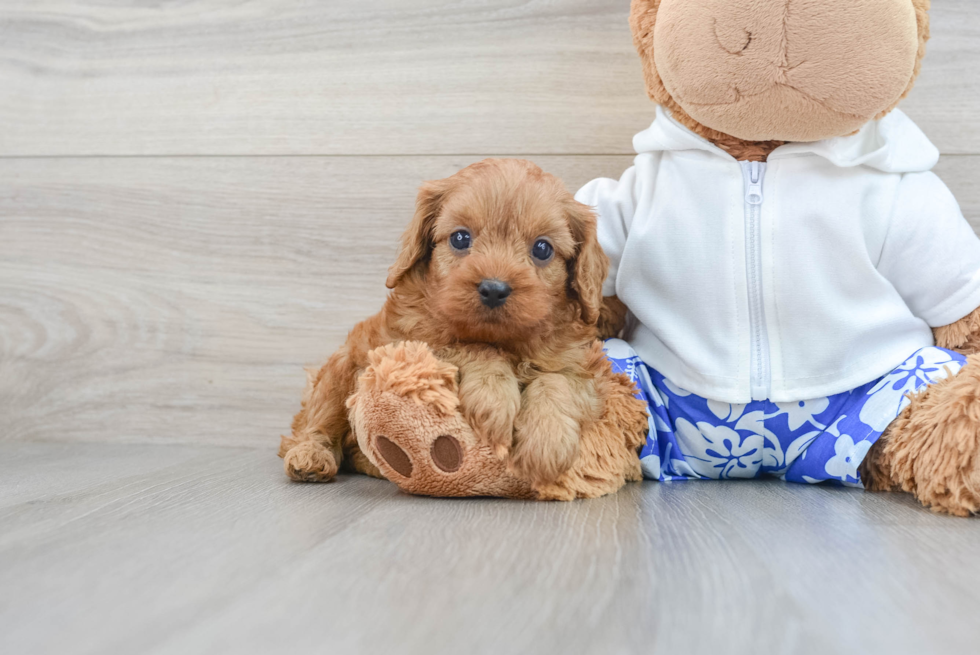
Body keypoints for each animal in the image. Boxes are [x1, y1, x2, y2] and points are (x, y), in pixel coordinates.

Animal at [280, 161, 648, 500]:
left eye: (542, 248)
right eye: (460, 238)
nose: (494, 289)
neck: (505, 339)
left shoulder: (582, 367)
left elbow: (556, 381)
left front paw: (547, 440)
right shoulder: (408, 342)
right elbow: (470, 347)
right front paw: (494, 398)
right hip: (339, 371)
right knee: (314, 424)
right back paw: (310, 456)